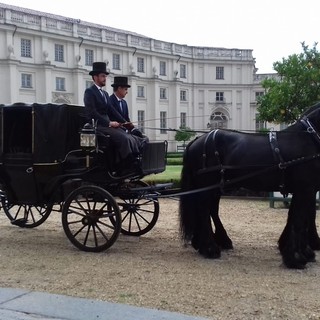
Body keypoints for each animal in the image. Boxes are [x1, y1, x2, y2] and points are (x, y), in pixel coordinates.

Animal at [180, 101, 320, 268]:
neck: (308, 138)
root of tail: (196, 140)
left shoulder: (303, 190)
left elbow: (297, 217)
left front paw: (300, 251)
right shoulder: (306, 189)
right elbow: (300, 220)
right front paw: (295, 257)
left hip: (214, 187)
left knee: (209, 209)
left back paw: (209, 242)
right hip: (207, 185)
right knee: (203, 210)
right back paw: (209, 248)